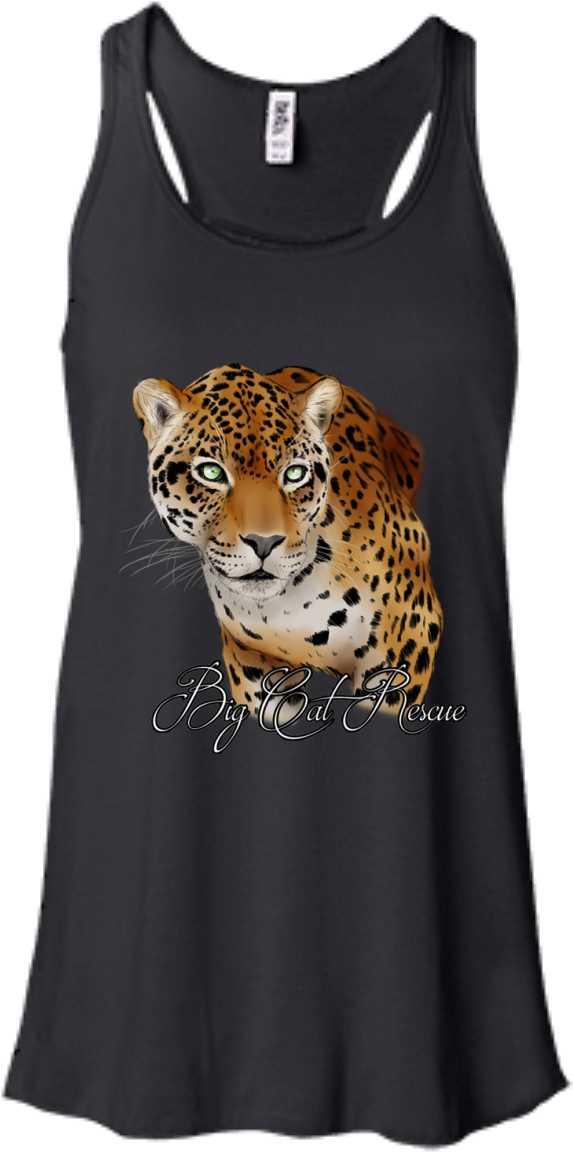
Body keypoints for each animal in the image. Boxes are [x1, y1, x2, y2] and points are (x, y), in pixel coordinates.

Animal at [133, 362, 443, 722]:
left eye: (295, 474)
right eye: (211, 472)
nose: (264, 543)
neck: (287, 606)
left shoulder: (407, 643)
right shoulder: (252, 662)